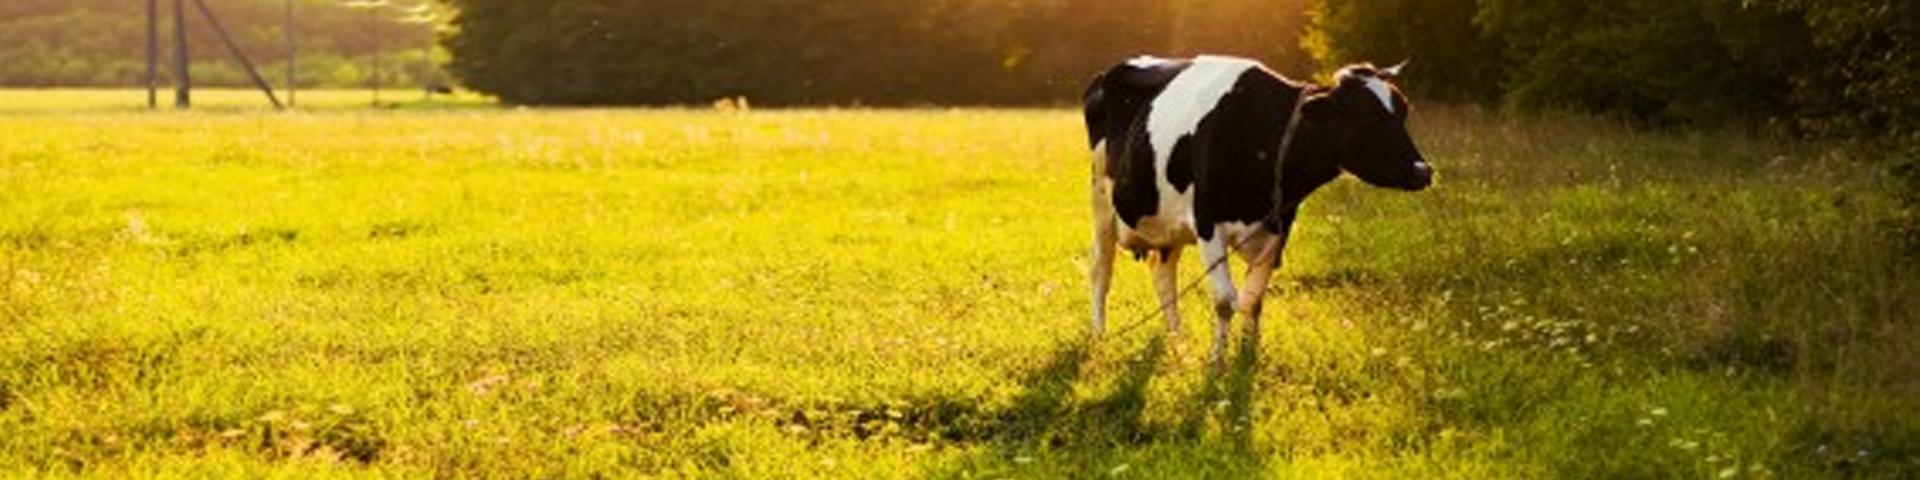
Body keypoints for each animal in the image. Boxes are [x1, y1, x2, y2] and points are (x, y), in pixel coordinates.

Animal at [1084, 55, 1433, 364]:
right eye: (1364, 116)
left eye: (1402, 111)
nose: (1423, 171)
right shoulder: (1207, 224)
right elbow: (1225, 300)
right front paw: (1217, 363)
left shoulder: (1278, 227)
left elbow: (1252, 300)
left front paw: (1247, 357)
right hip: (1101, 199)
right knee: (1102, 270)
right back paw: (1099, 336)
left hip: (1165, 224)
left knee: (1162, 276)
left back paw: (1178, 343)